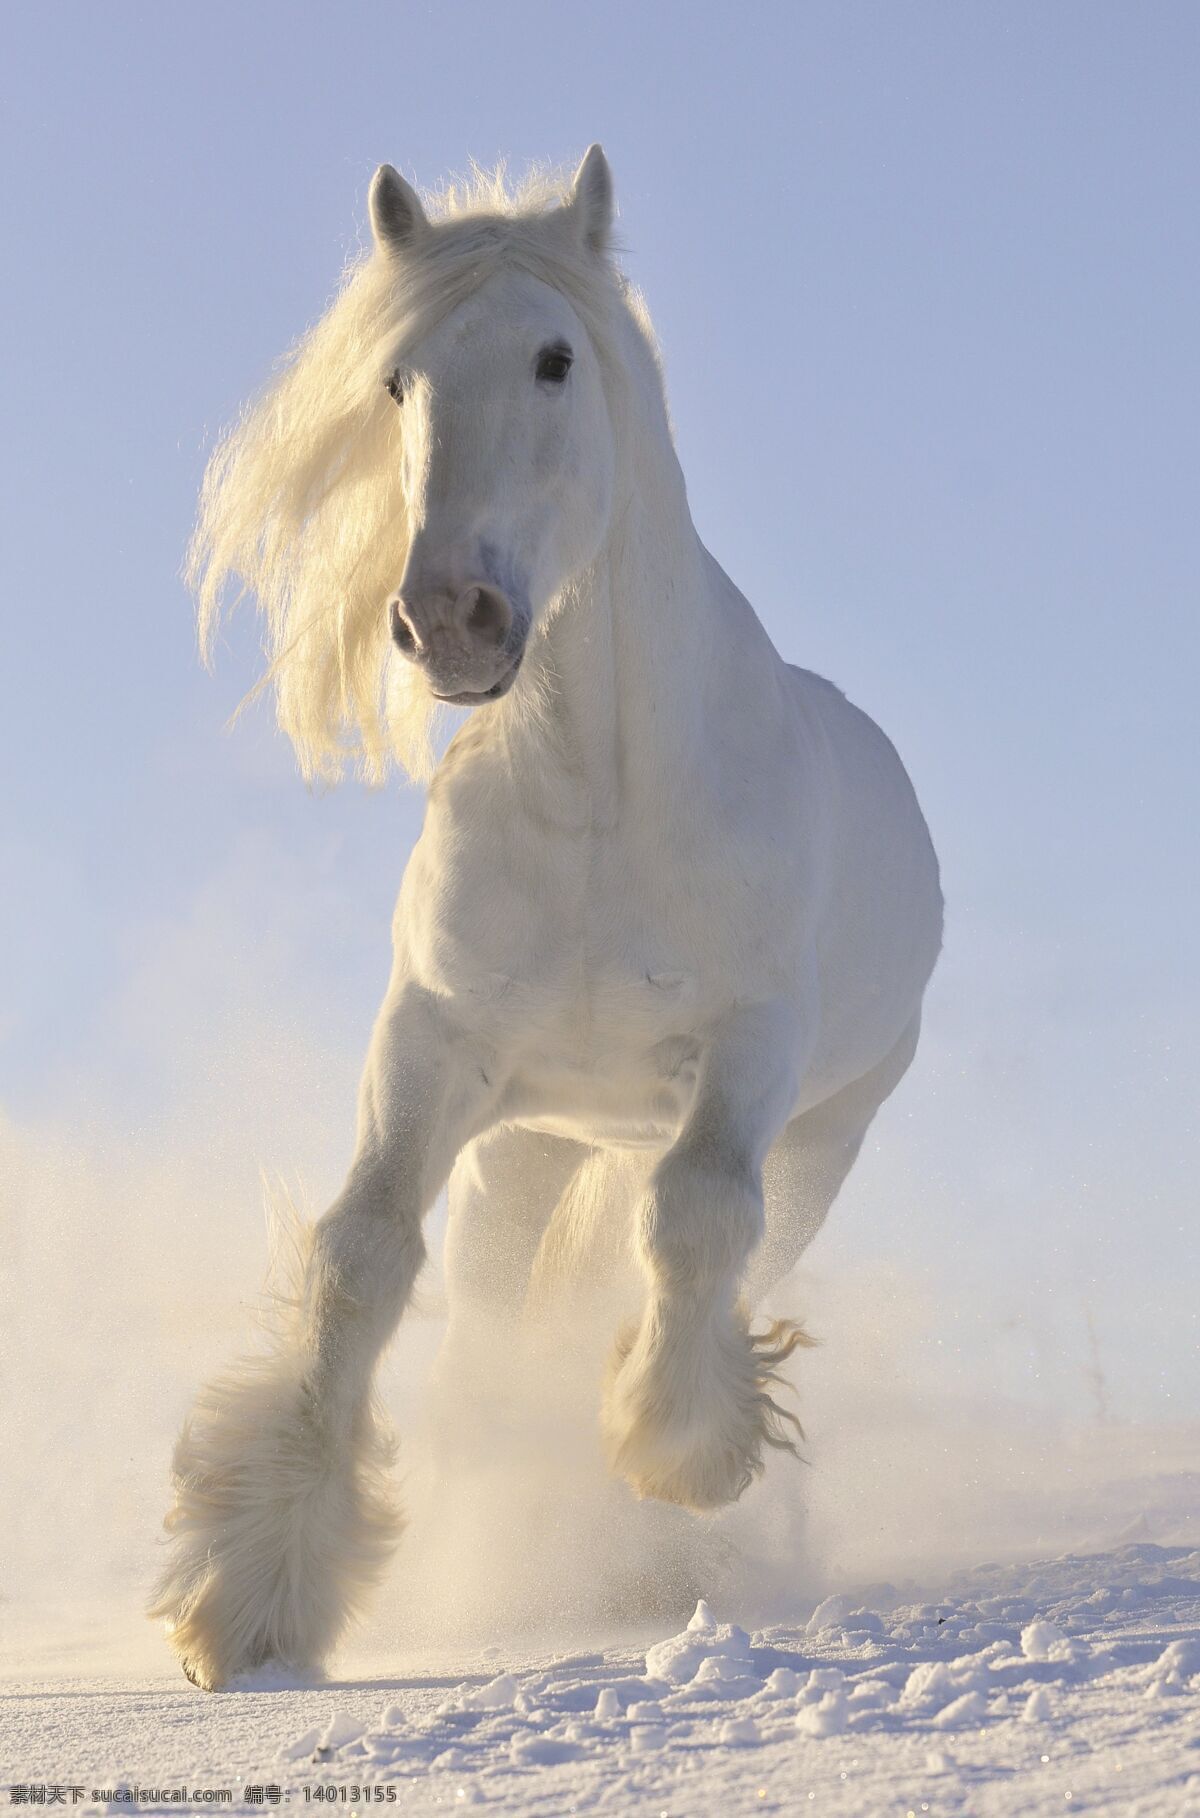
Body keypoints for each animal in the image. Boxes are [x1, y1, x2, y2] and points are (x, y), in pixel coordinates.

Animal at [150, 145, 945, 1687]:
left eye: (556, 358)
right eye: (398, 381)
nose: (449, 617)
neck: (601, 801)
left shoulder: (749, 1049)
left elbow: (696, 1219)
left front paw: (682, 1458)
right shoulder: (431, 1045)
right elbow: (359, 1257)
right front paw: (259, 1597)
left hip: (825, 1133)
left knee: (729, 1240)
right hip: (524, 1153)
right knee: (493, 1323)